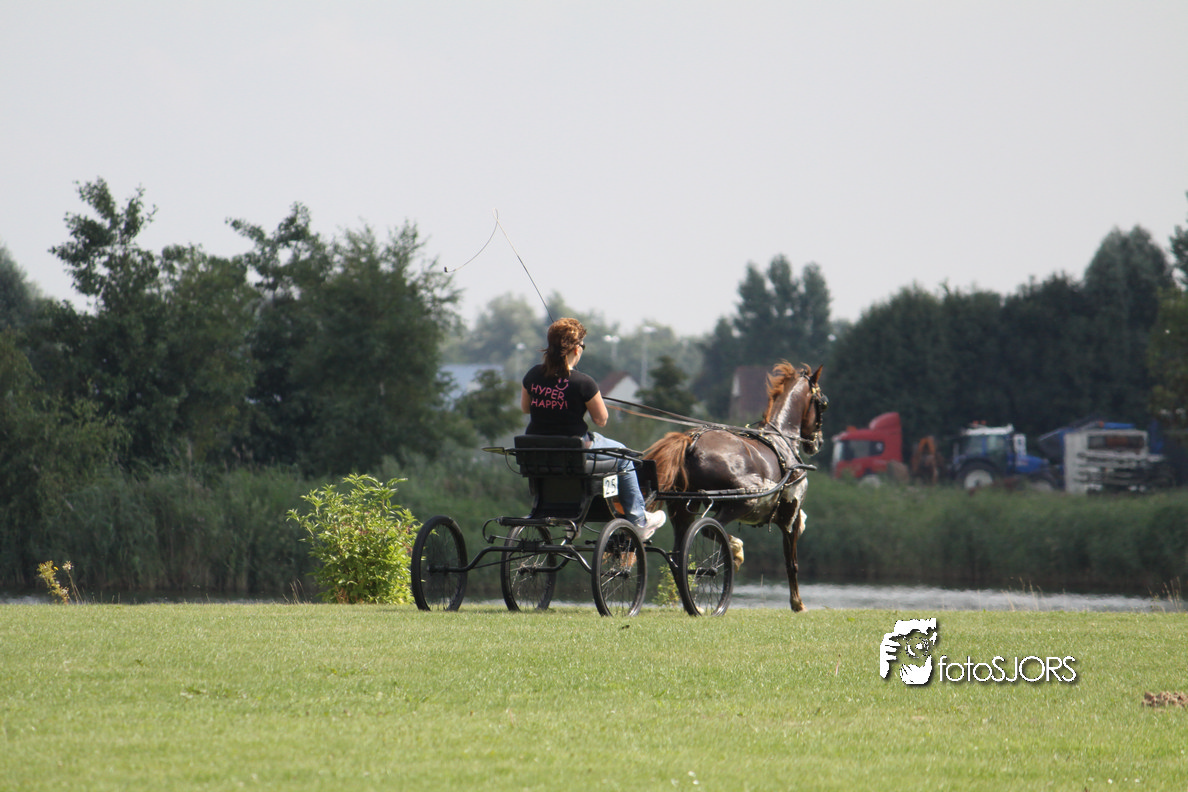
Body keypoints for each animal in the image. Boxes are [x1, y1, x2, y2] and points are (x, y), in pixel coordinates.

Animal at [644, 362, 827, 612]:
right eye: (823, 403)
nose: (818, 442)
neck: (783, 443)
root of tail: (691, 441)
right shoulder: (791, 515)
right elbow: (792, 562)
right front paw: (797, 603)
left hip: (682, 508)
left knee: (679, 554)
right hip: (741, 502)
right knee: (710, 529)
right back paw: (734, 551)